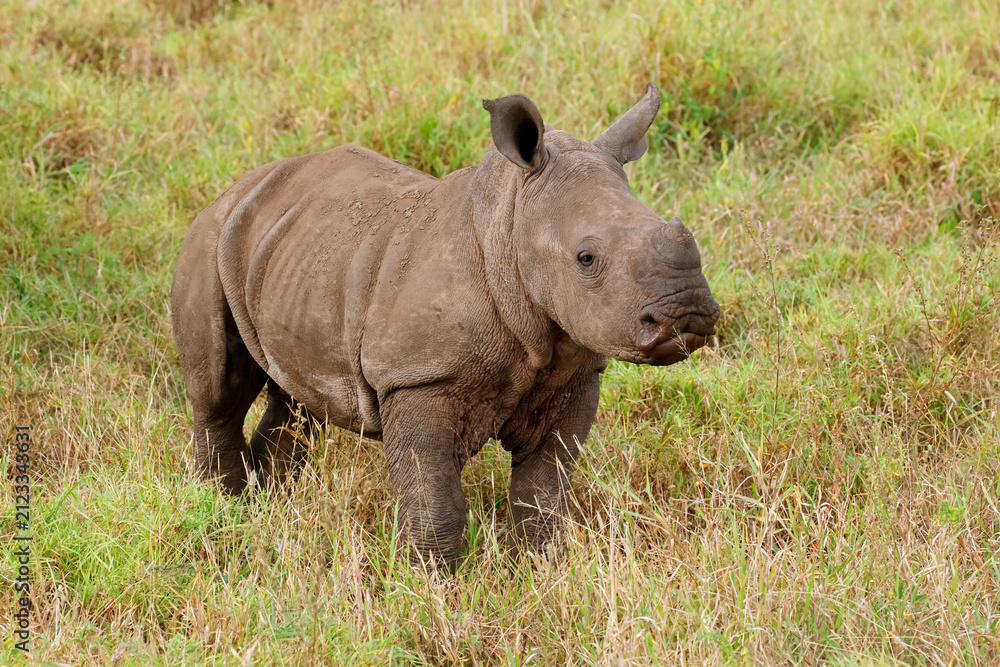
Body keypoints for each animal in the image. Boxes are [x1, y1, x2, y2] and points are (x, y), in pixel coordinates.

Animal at [171, 83, 720, 569]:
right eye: (586, 258)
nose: (687, 314)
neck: (509, 225)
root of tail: (242, 183)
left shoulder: (576, 372)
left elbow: (542, 492)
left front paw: (542, 570)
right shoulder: (418, 377)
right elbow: (434, 497)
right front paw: (430, 583)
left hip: (300, 254)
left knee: (298, 399)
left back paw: (270, 506)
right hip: (212, 236)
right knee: (220, 390)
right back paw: (222, 510)